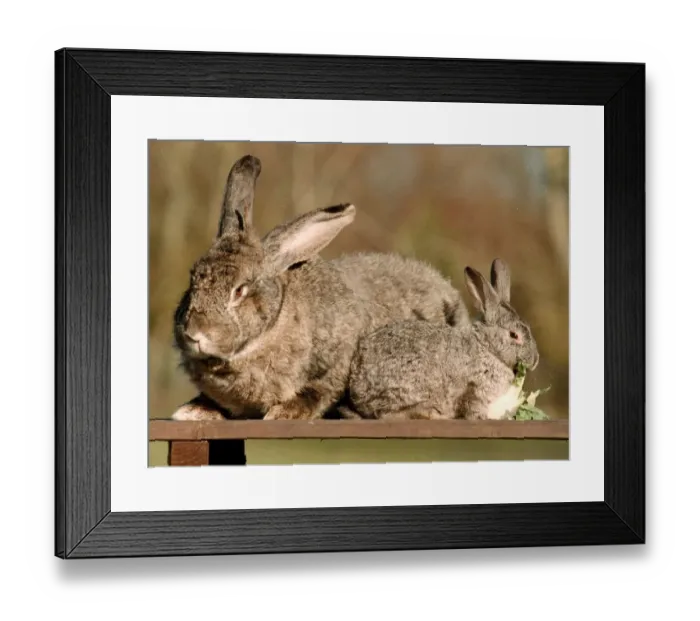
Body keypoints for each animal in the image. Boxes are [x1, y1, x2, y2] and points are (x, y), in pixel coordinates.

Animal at [170, 154, 470, 422]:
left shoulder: (338, 364)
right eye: (192, 279)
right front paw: (192, 411)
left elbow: (319, 391)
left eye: (240, 290)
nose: (195, 332)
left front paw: (283, 413)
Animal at [340, 258, 540, 421]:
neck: (486, 347)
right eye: (514, 335)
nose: (535, 361)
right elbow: (472, 407)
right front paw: (481, 418)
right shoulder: (475, 389)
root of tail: (357, 386)